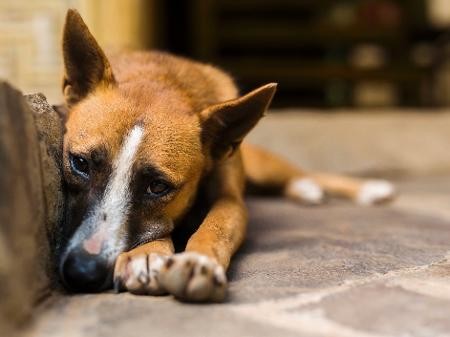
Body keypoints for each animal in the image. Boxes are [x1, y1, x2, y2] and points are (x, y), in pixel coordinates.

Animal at [59, 9, 394, 300]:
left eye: (158, 187)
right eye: (80, 163)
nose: (83, 271)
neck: (165, 81)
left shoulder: (231, 202)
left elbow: (216, 226)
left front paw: (197, 262)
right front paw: (148, 254)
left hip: (263, 166)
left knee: (305, 173)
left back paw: (358, 189)